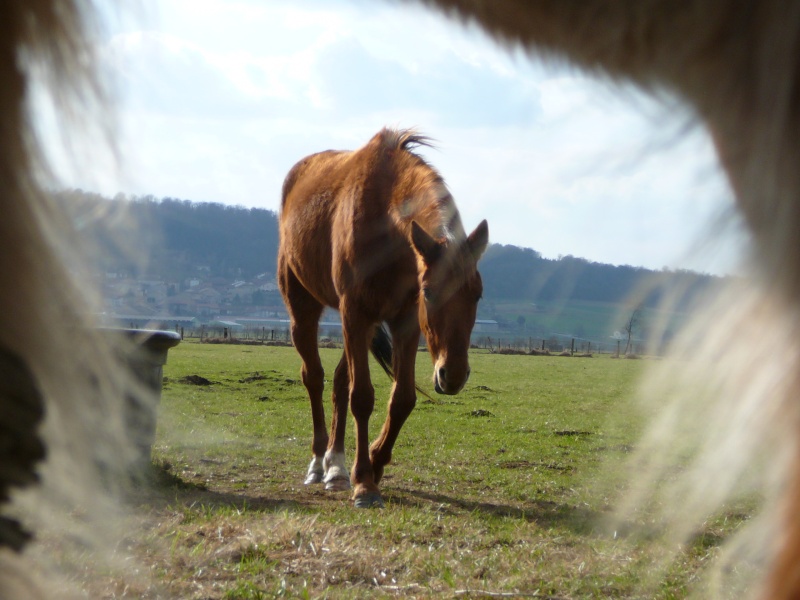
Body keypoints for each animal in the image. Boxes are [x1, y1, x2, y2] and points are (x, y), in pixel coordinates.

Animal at [278, 129, 488, 508]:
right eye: (429, 293)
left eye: (477, 295)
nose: (452, 376)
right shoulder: (355, 312)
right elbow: (362, 397)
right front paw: (364, 483)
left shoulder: (404, 322)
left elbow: (402, 399)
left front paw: (374, 463)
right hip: (304, 310)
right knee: (314, 378)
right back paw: (318, 463)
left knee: (338, 382)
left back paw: (336, 466)